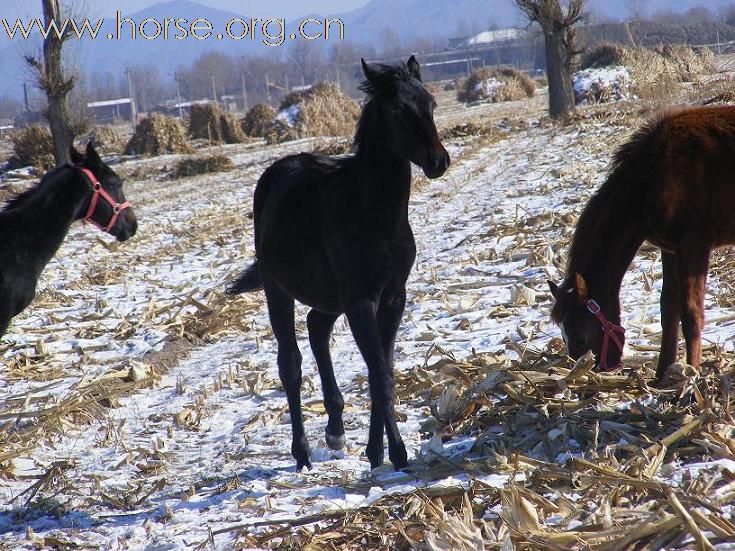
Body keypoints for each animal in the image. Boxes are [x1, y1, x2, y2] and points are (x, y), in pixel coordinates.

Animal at [230, 57, 448, 470]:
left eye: (430, 103)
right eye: (398, 110)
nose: (438, 162)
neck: (373, 214)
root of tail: (275, 175)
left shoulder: (393, 297)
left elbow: (383, 367)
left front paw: (376, 453)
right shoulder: (361, 300)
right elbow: (379, 374)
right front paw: (397, 454)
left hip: (330, 297)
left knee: (316, 326)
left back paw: (335, 430)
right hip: (278, 290)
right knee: (290, 363)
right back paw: (302, 453)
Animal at [548, 105, 735, 378]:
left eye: (581, 339)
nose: (598, 369)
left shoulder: (694, 246)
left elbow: (691, 313)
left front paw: (692, 373)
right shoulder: (671, 250)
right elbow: (668, 309)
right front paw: (662, 375)